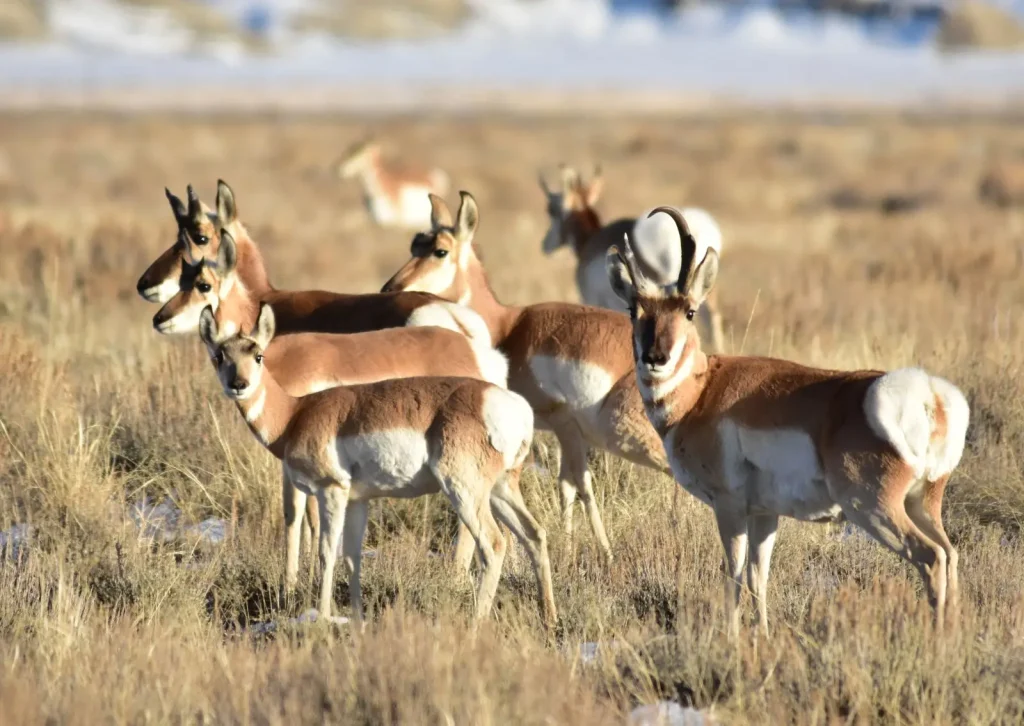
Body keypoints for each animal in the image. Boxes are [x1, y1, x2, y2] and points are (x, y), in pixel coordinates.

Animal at [170, 229, 511, 592]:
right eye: (182, 277)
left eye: (204, 284)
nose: (161, 317)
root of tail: (477, 350)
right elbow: (298, 515)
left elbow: (300, 514)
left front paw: (293, 584)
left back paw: (456, 576)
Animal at [197, 301, 557, 627]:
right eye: (219, 356)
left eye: (258, 355)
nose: (238, 385)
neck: (295, 413)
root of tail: (506, 403)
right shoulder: (359, 500)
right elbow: (352, 556)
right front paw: (356, 618)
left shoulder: (331, 491)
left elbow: (327, 551)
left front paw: (323, 615)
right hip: (501, 489)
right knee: (534, 534)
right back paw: (549, 618)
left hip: (465, 492)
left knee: (493, 544)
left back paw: (476, 621)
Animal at [382, 191, 677, 566]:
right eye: (414, 244)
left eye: (440, 250)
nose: (390, 288)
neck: (509, 326)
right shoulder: (568, 435)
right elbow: (569, 485)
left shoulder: (566, 426)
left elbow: (580, 486)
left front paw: (604, 553)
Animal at [605, 207, 969, 636]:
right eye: (634, 311)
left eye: (689, 311)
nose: (655, 357)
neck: (703, 390)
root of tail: (928, 395)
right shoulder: (765, 513)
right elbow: (758, 577)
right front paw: (762, 636)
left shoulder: (729, 507)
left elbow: (733, 575)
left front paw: (730, 639)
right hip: (922, 504)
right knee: (950, 553)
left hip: (873, 509)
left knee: (930, 557)